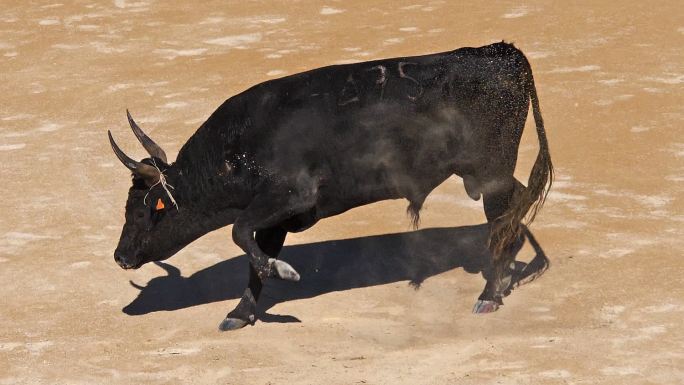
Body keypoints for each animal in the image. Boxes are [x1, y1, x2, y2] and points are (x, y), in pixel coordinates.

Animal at [108, 42, 556, 330]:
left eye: (147, 211)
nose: (120, 257)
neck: (237, 148)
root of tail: (502, 53)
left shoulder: (291, 196)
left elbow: (240, 233)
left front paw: (286, 272)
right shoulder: (276, 219)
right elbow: (253, 256)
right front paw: (241, 312)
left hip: (492, 168)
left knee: (501, 219)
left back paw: (490, 294)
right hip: (484, 172)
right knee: (514, 209)